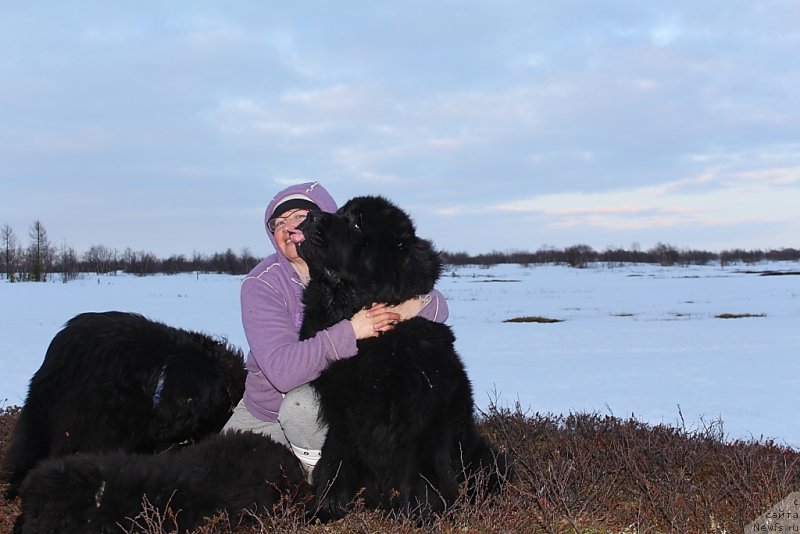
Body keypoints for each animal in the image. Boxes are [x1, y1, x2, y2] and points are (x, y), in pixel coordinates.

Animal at [294, 195, 506, 520]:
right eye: (340, 212)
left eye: (357, 223)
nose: (310, 217)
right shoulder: (343, 415)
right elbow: (334, 462)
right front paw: (323, 509)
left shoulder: (421, 418)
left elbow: (421, 472)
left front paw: (423, 513)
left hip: (487, 457)